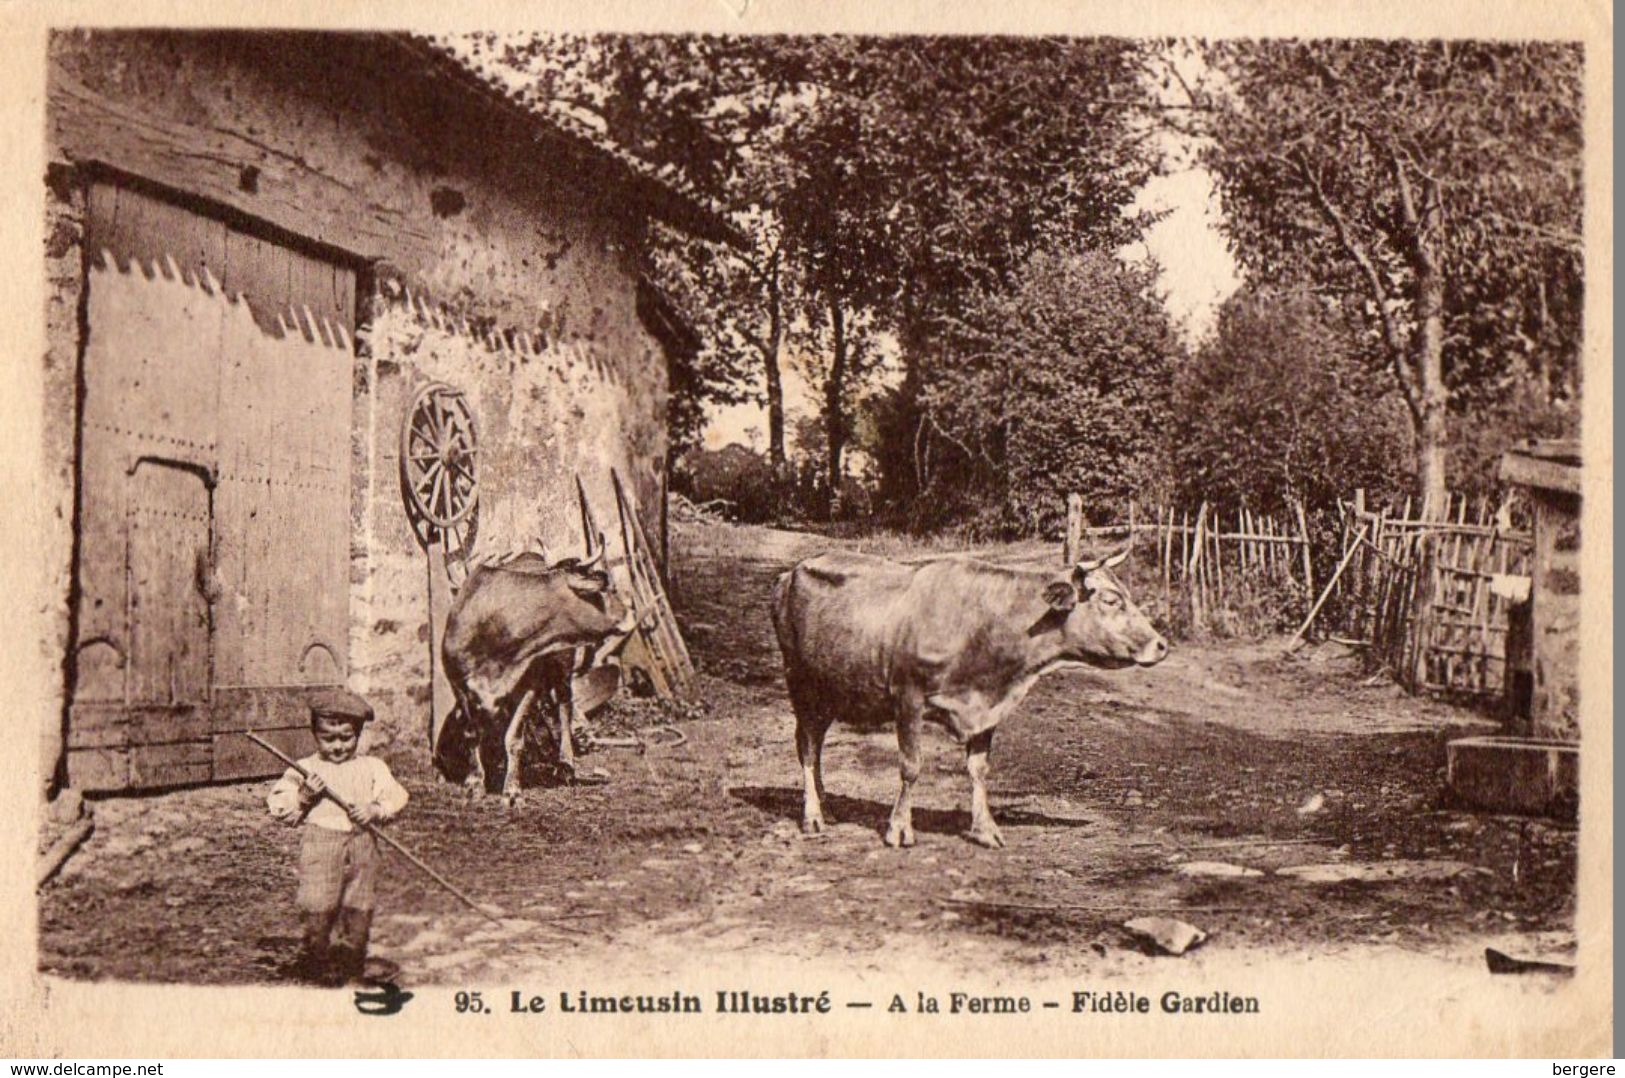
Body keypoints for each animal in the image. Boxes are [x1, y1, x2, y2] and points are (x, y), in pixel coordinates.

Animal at [442, 552, 630, 796]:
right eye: (604, 590)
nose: (628, 612)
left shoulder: (529, 684)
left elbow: (514, 737)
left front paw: (512, 788)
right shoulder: (458, 684)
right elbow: (472, 732)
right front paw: (475, 781)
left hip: (562, 668)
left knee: (564, 707)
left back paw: (565, 763)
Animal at [773, 552, 1170, 845]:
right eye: (1111, 600)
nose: (1161, 644)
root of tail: (790, 571)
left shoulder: (986, 708)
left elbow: (979, 769)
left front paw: (985, 829)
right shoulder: (908, 697)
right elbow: (911, 766)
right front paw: (899, 828)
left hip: (830, 690)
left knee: (815, 746)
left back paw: (827, 807)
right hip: (801, 684)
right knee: (808, 747)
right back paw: (813, 816)